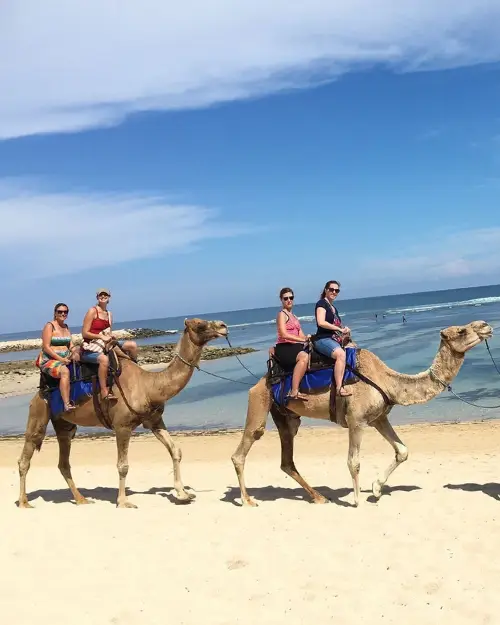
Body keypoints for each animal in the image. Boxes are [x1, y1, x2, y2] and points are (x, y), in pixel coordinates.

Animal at [18, 316, 229, 508]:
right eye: (200, 324)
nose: (223, 326)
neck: (149, 386)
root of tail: (39, 392)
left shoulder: (154, 421)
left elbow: (175, 450)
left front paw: (183, 494)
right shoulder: (122, 426)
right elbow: (123, 465)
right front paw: (123, 502)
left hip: (64, 423)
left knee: (64, 459)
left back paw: (81, 499)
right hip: (39, 412)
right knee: (26, 455)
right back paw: (24, 502)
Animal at [232, 320, 494, 504]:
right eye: (461, 331)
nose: (485, 325)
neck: (386, 380)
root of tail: (259, 382)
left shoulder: (378, 418)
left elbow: (402, 451)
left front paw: (376, 489)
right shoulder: (356, 420)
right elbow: (354, 462)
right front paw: (358, 499)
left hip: (285, 416)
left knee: (287, 460)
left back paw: (319, 497)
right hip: (259, 401)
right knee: (243, 448)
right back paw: (247, 500)